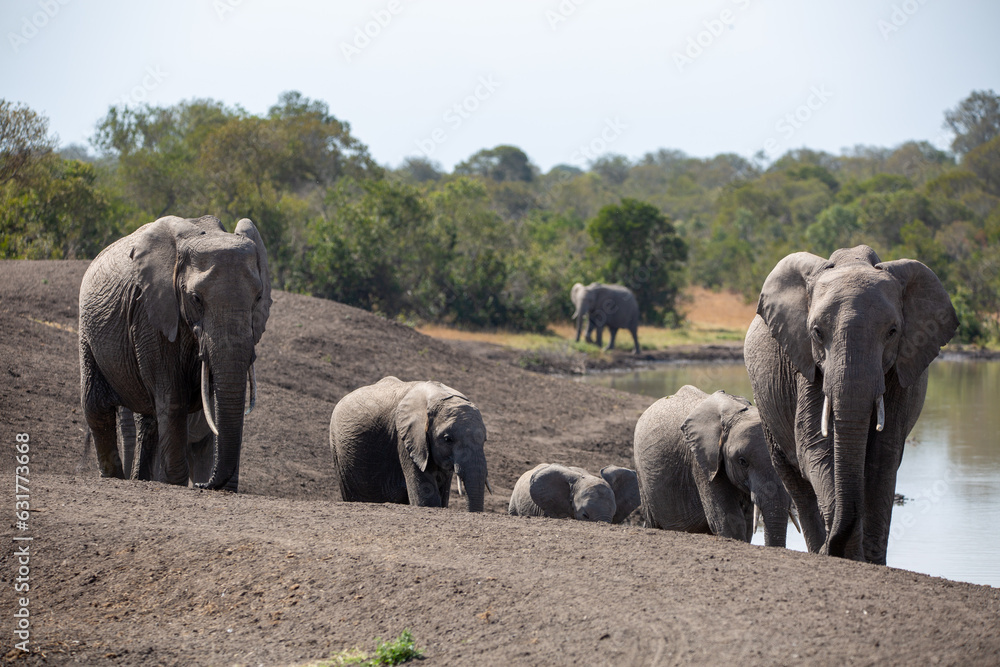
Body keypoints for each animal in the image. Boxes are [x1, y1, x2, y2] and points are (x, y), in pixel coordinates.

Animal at [79, 214, 271, 491]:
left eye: (258, 298)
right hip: (88, 332)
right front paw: (176, 483)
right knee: (96, 407)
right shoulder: (151, 315)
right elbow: (173, 397)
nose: (202, 485)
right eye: (196, 299)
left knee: (149, 422)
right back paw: (114, 477)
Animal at [744, 245, 958, 563]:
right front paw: (841, 552)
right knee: (792, 477)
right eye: (817, 332)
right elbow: (815, 447)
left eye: (892, 332)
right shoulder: (806, 364)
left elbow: (883, 454)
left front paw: (867, 558)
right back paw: (818, 548)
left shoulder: (901, 367)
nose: (835, 545)